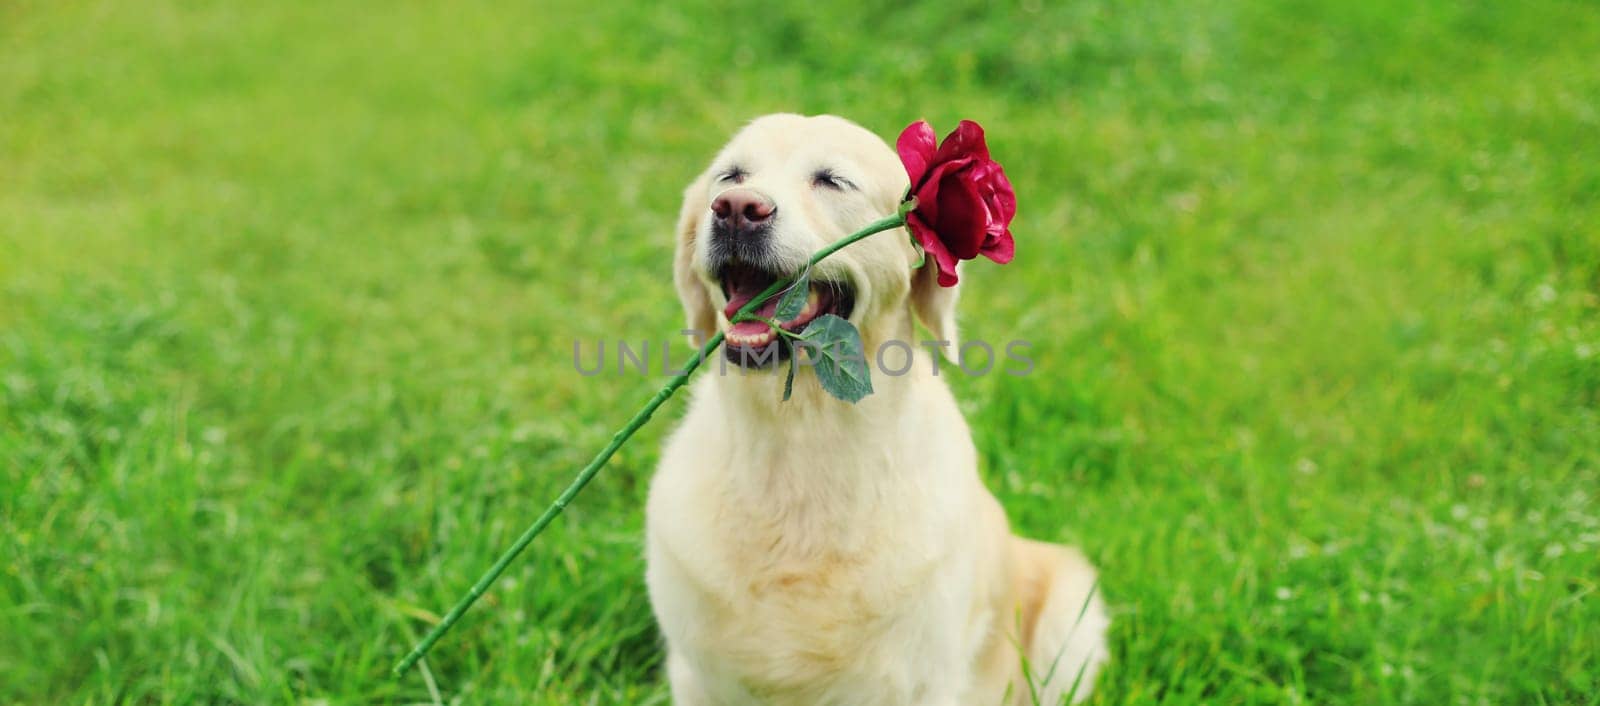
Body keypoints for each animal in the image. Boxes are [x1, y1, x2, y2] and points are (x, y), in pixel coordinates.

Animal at [643, 112, 1107, 701]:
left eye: (832, 180)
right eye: (730, 175)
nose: (736, 209)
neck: (800, 438)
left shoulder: (923, 679)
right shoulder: (696, 674)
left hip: (1071, 617)